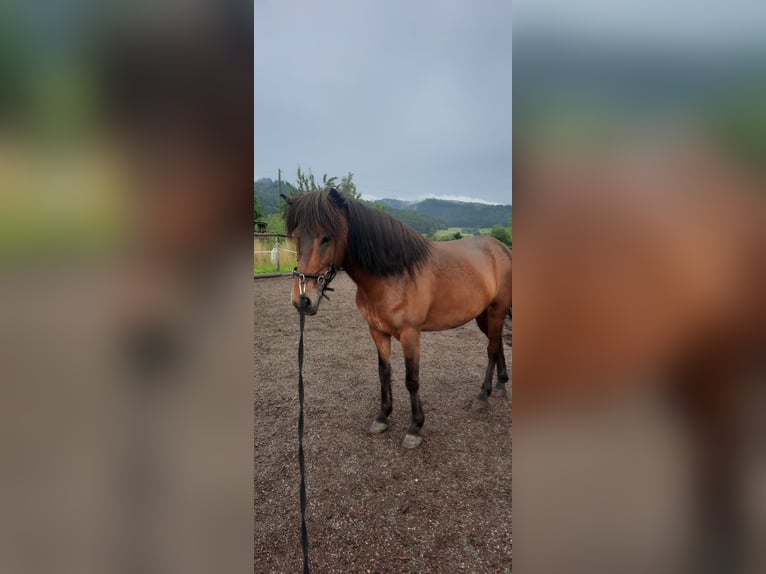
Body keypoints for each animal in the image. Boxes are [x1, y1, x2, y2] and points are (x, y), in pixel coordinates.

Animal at [284, 189, 516, 450]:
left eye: (326, 238)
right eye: (295, 237)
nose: (302, 300)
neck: (395, 275)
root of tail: (500, 248)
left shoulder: (410, 334)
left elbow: (411, 380)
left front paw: (415, 428)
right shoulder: (377, 331)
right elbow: (384, 372)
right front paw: (383, 416)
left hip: (496, 311)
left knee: (491, 350)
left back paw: (483, 396)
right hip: (484, 316)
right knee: (497, 345)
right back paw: (500, 386)